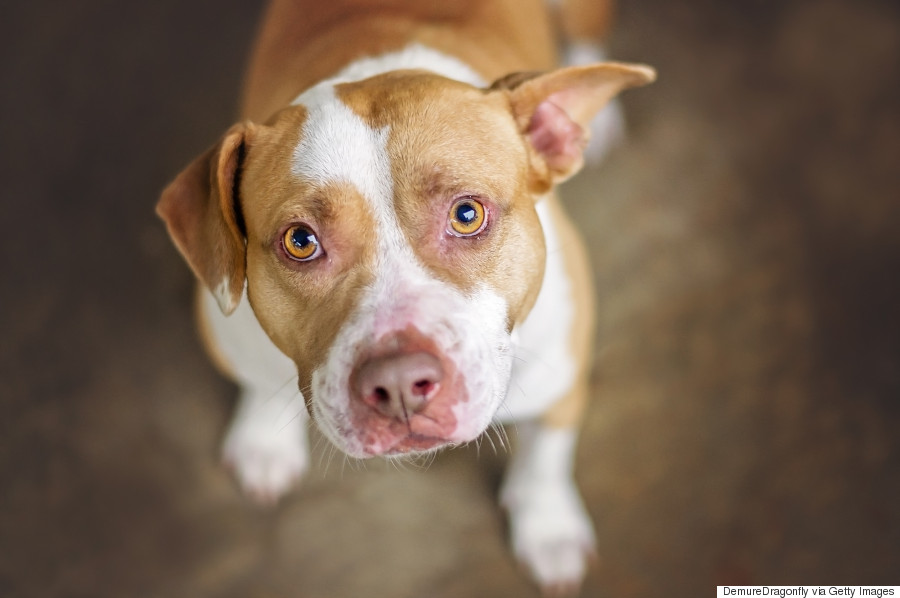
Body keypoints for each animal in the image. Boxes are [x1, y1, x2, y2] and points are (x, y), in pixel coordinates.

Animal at [156, 0, 652, 596]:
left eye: (468, 214)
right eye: (300, 242)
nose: (397, 384)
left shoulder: (562, 372)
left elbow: (546, 454)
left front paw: (547, 527)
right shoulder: (229, 332)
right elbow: (258, 383)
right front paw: (265, 443)